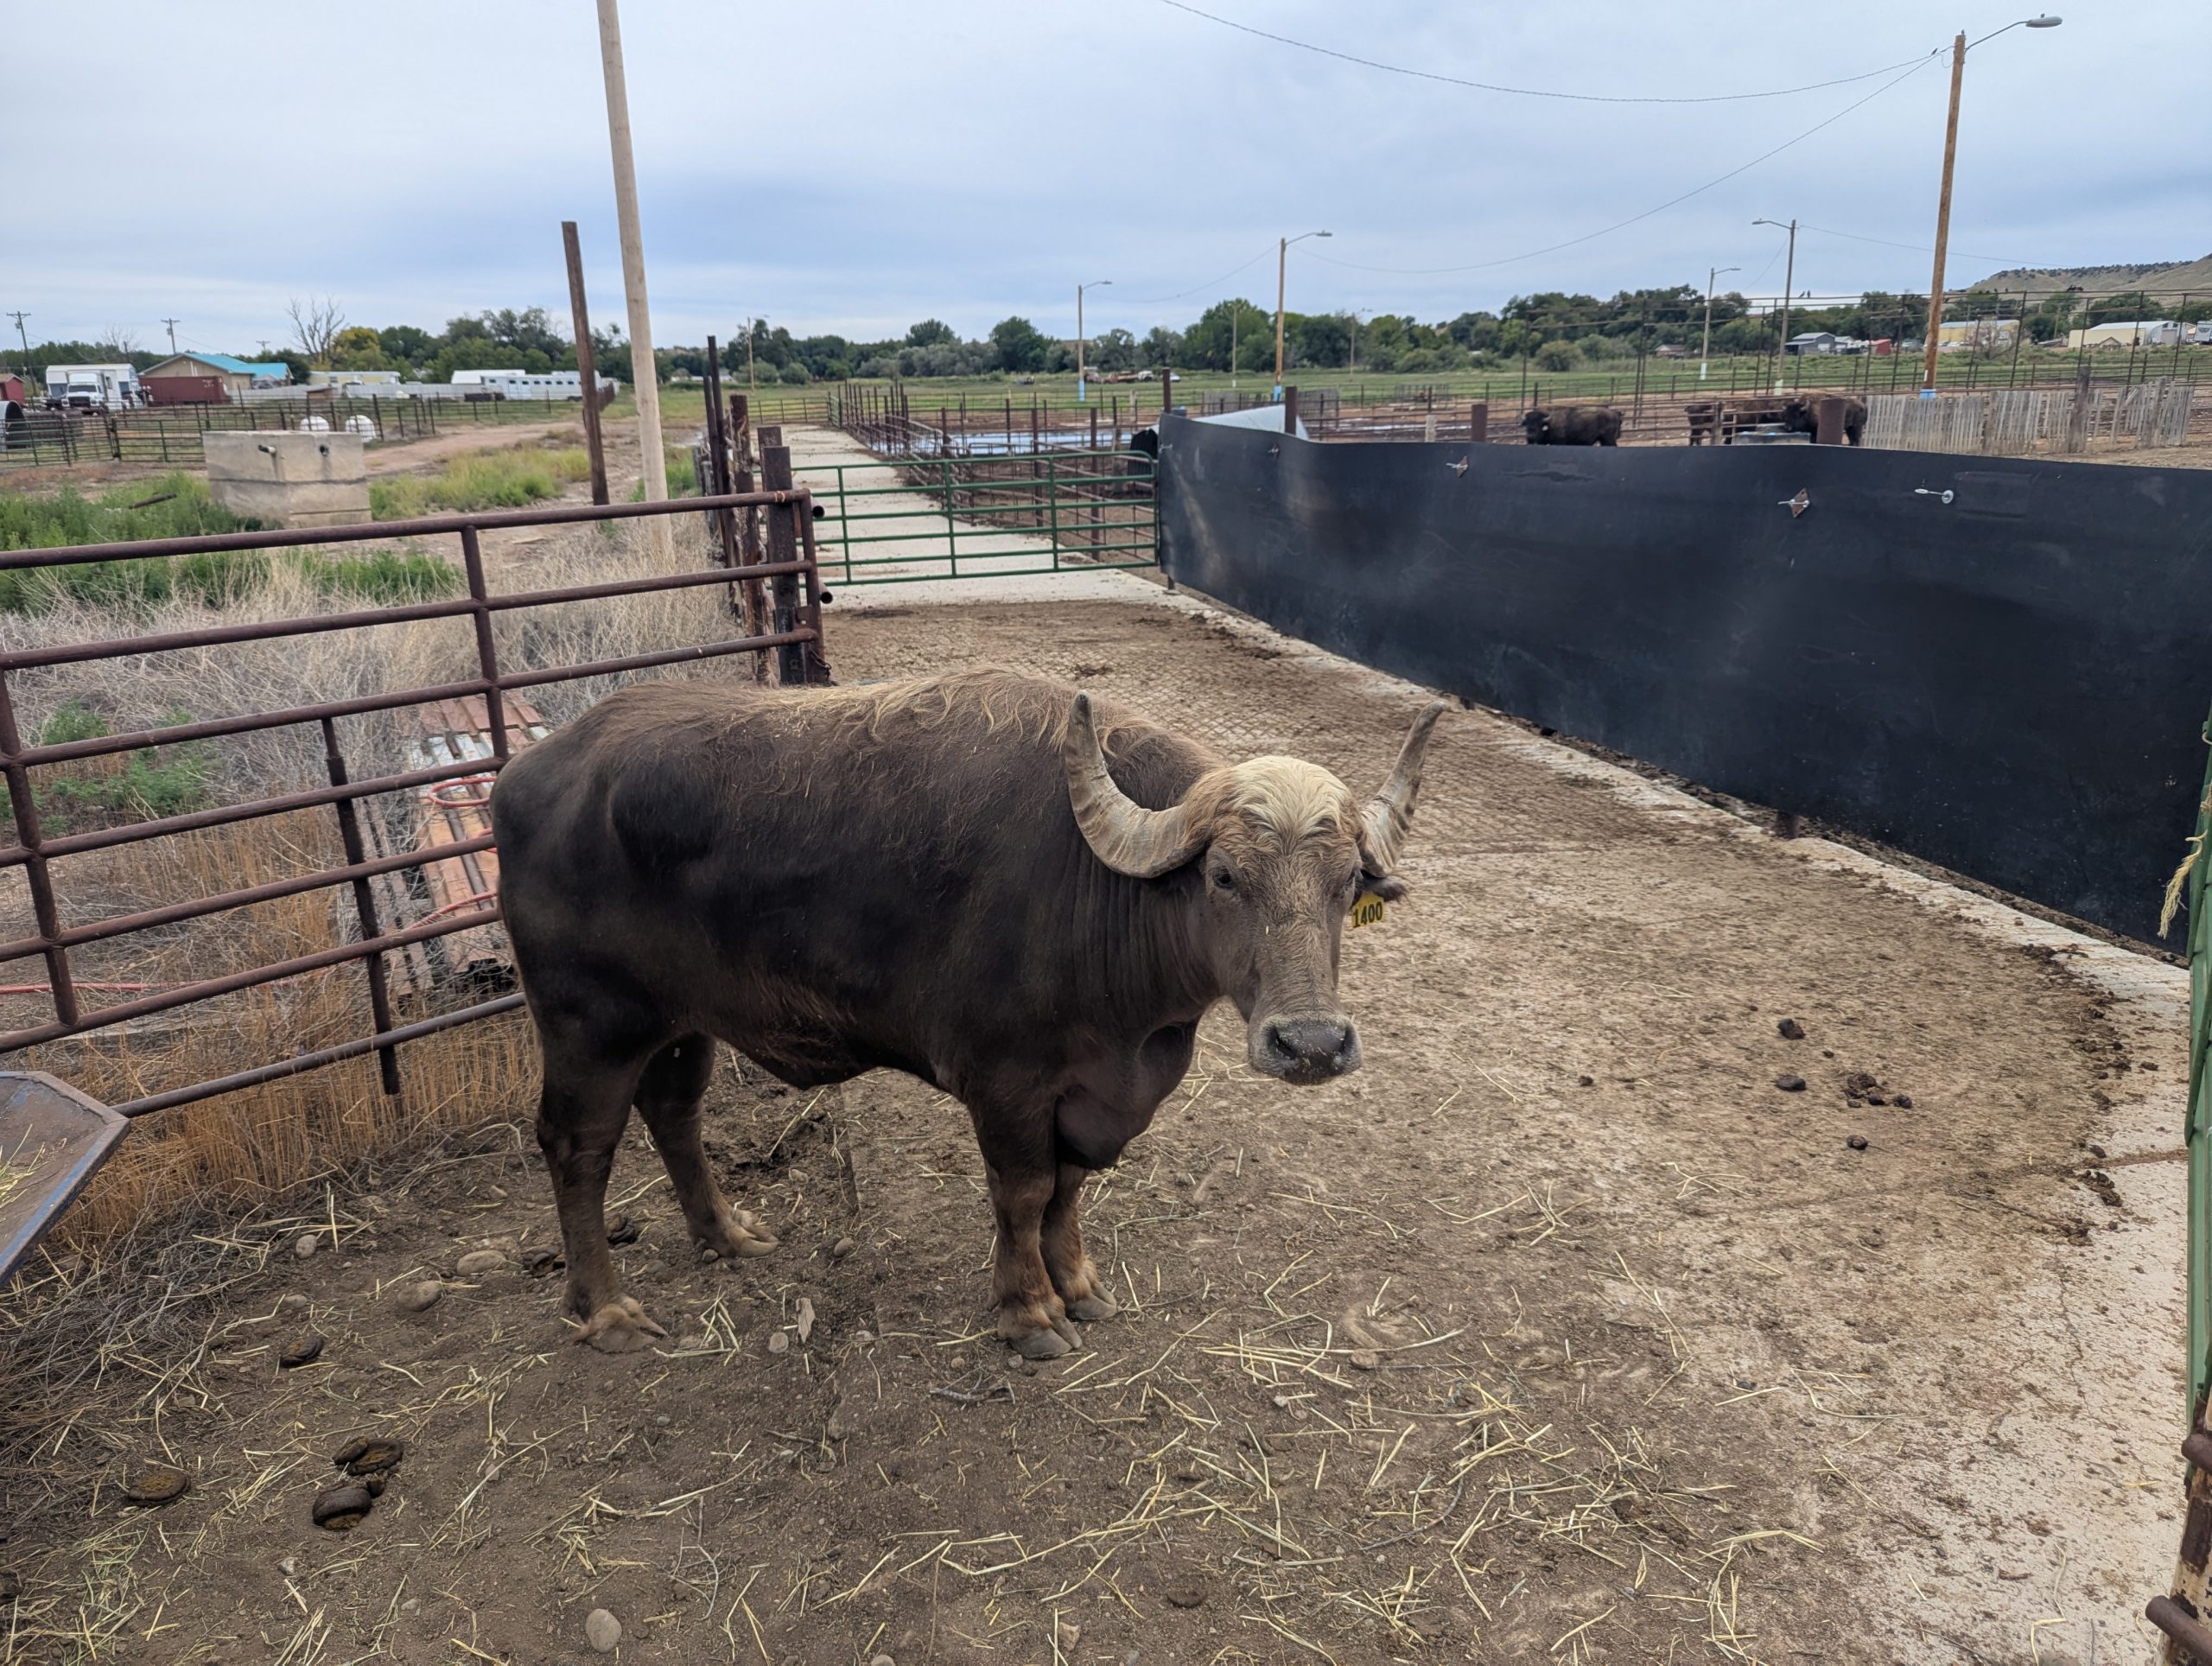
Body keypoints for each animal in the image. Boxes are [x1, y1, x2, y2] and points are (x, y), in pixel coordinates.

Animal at [492, 672, 1443, 1357]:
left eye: (1349, 882)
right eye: (1224, 876)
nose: (1310, 1043)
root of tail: (528, 773)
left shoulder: (1091, 1093)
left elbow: (1070, 1186)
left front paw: (1077, 1285)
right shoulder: (1006, 1083)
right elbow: (1022, 1192)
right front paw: (1028, 1312)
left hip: (681, 1021)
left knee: (674, 1113)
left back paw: (726, 1232)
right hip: (590, 1025)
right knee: (577, 1148)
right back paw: (606, 1308)